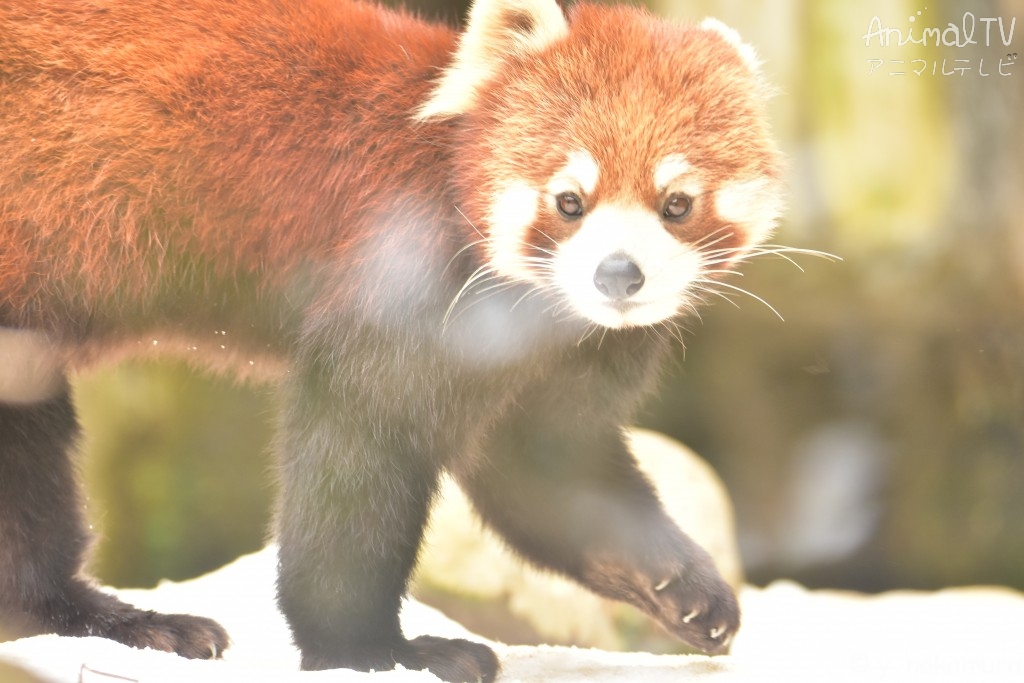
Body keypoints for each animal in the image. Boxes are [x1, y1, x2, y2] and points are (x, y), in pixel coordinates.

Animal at [2, 1, 782, 683]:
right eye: (569, 201)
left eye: (676, 204)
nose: (617, 274)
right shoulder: (401, 276)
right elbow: (355, 451)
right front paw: (374, 648)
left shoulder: (563, 356)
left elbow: (545, 468)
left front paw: (682, 585)